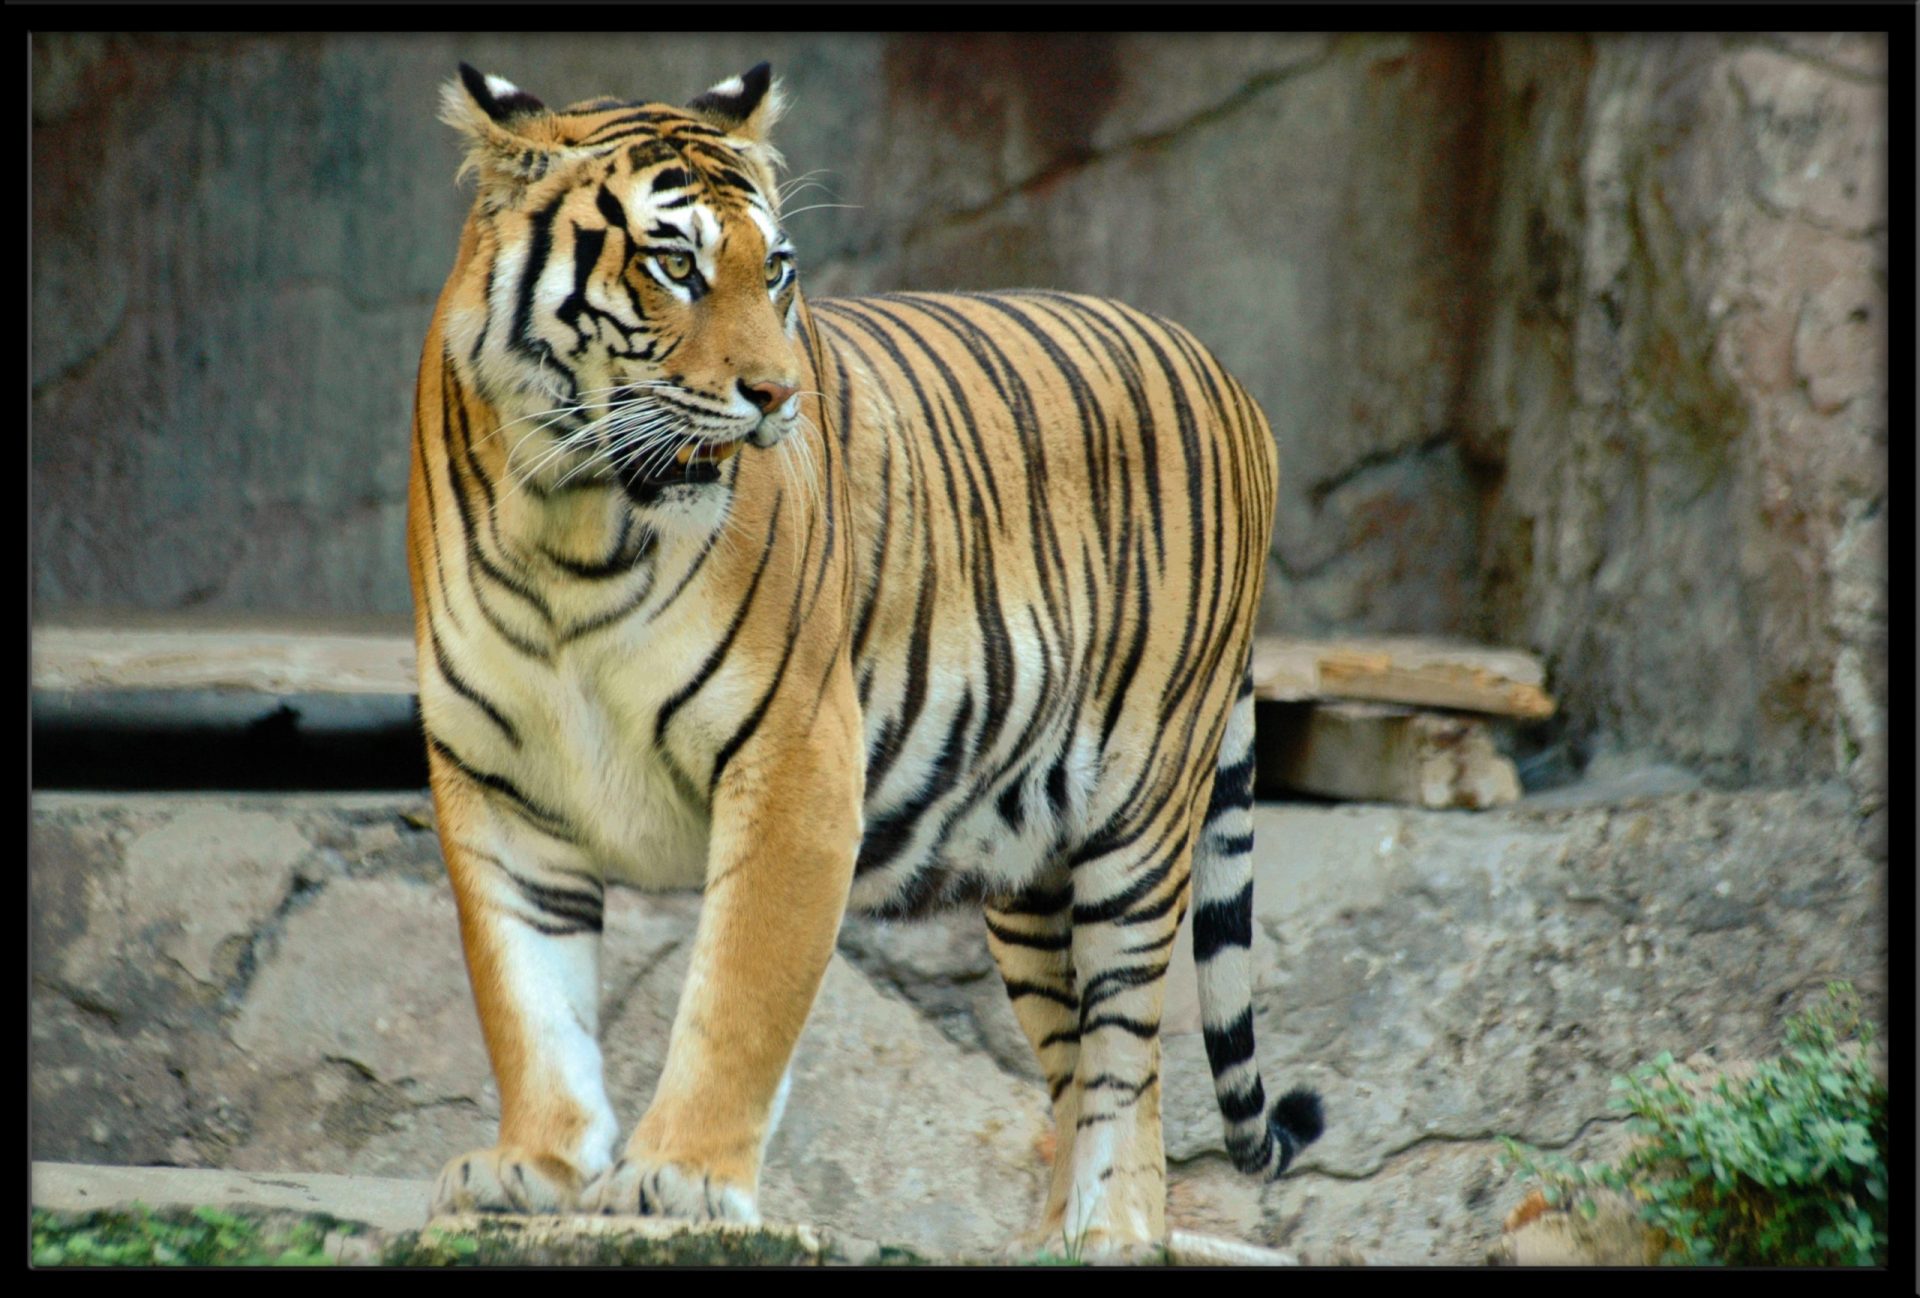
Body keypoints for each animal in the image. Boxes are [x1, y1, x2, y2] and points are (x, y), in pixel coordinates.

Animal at [408, 60, 1323, 1256]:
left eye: (774, 269)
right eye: (673, 265)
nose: (776, 396)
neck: (571, 523)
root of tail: (1229, 373)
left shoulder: (794, 759)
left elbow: (737, 996)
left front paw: (680, 1182)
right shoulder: (496, 783)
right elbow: (530, 999)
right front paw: (535, 1168)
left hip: (1137, 817)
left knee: (1130, 1055)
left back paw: (1115, 1231)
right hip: (1027, 869)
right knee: (1076, 1058)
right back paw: (1049, 1241)